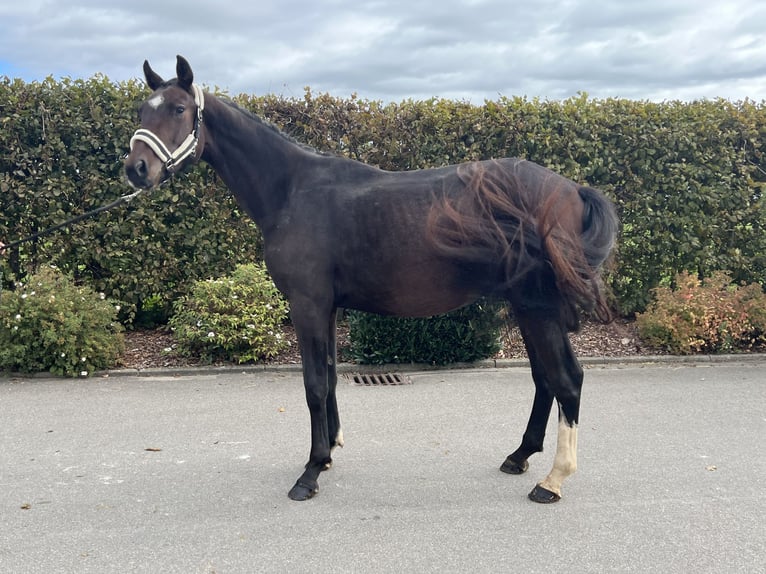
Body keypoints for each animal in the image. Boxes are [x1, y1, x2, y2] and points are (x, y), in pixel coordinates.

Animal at [124, 56, 618, 504]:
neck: (293, 190)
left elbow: (313, 385)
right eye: (142, 111)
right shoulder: (325, 307)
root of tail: (571, 190)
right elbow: (329, 377)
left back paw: (553, 480)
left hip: (538, 305)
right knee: (543, 379)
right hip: (525, 305)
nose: (136, 169)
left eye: (178, 109)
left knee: (566, 378)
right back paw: (520, 456)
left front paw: (310, 472)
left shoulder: (307, 305)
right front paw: (328, 453)